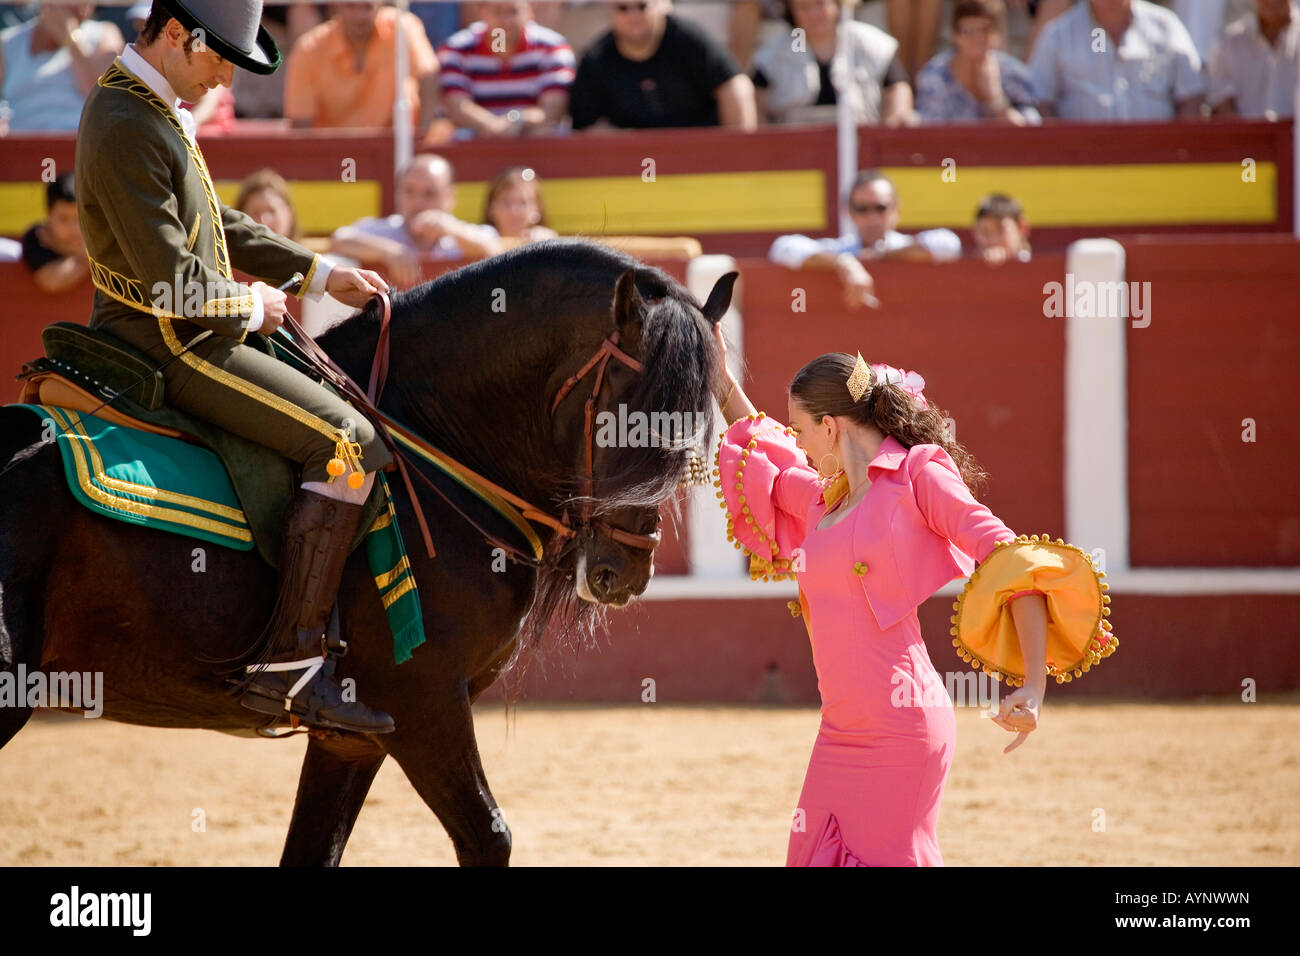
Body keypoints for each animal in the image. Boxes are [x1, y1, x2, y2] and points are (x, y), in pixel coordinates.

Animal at [0, 239, 733, 868]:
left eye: (698, 418)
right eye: (621, 413)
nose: (624, 571)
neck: (434, 446)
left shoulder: (351, 737)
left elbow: (312, 848)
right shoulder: (424, 706)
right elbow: (488, 836)